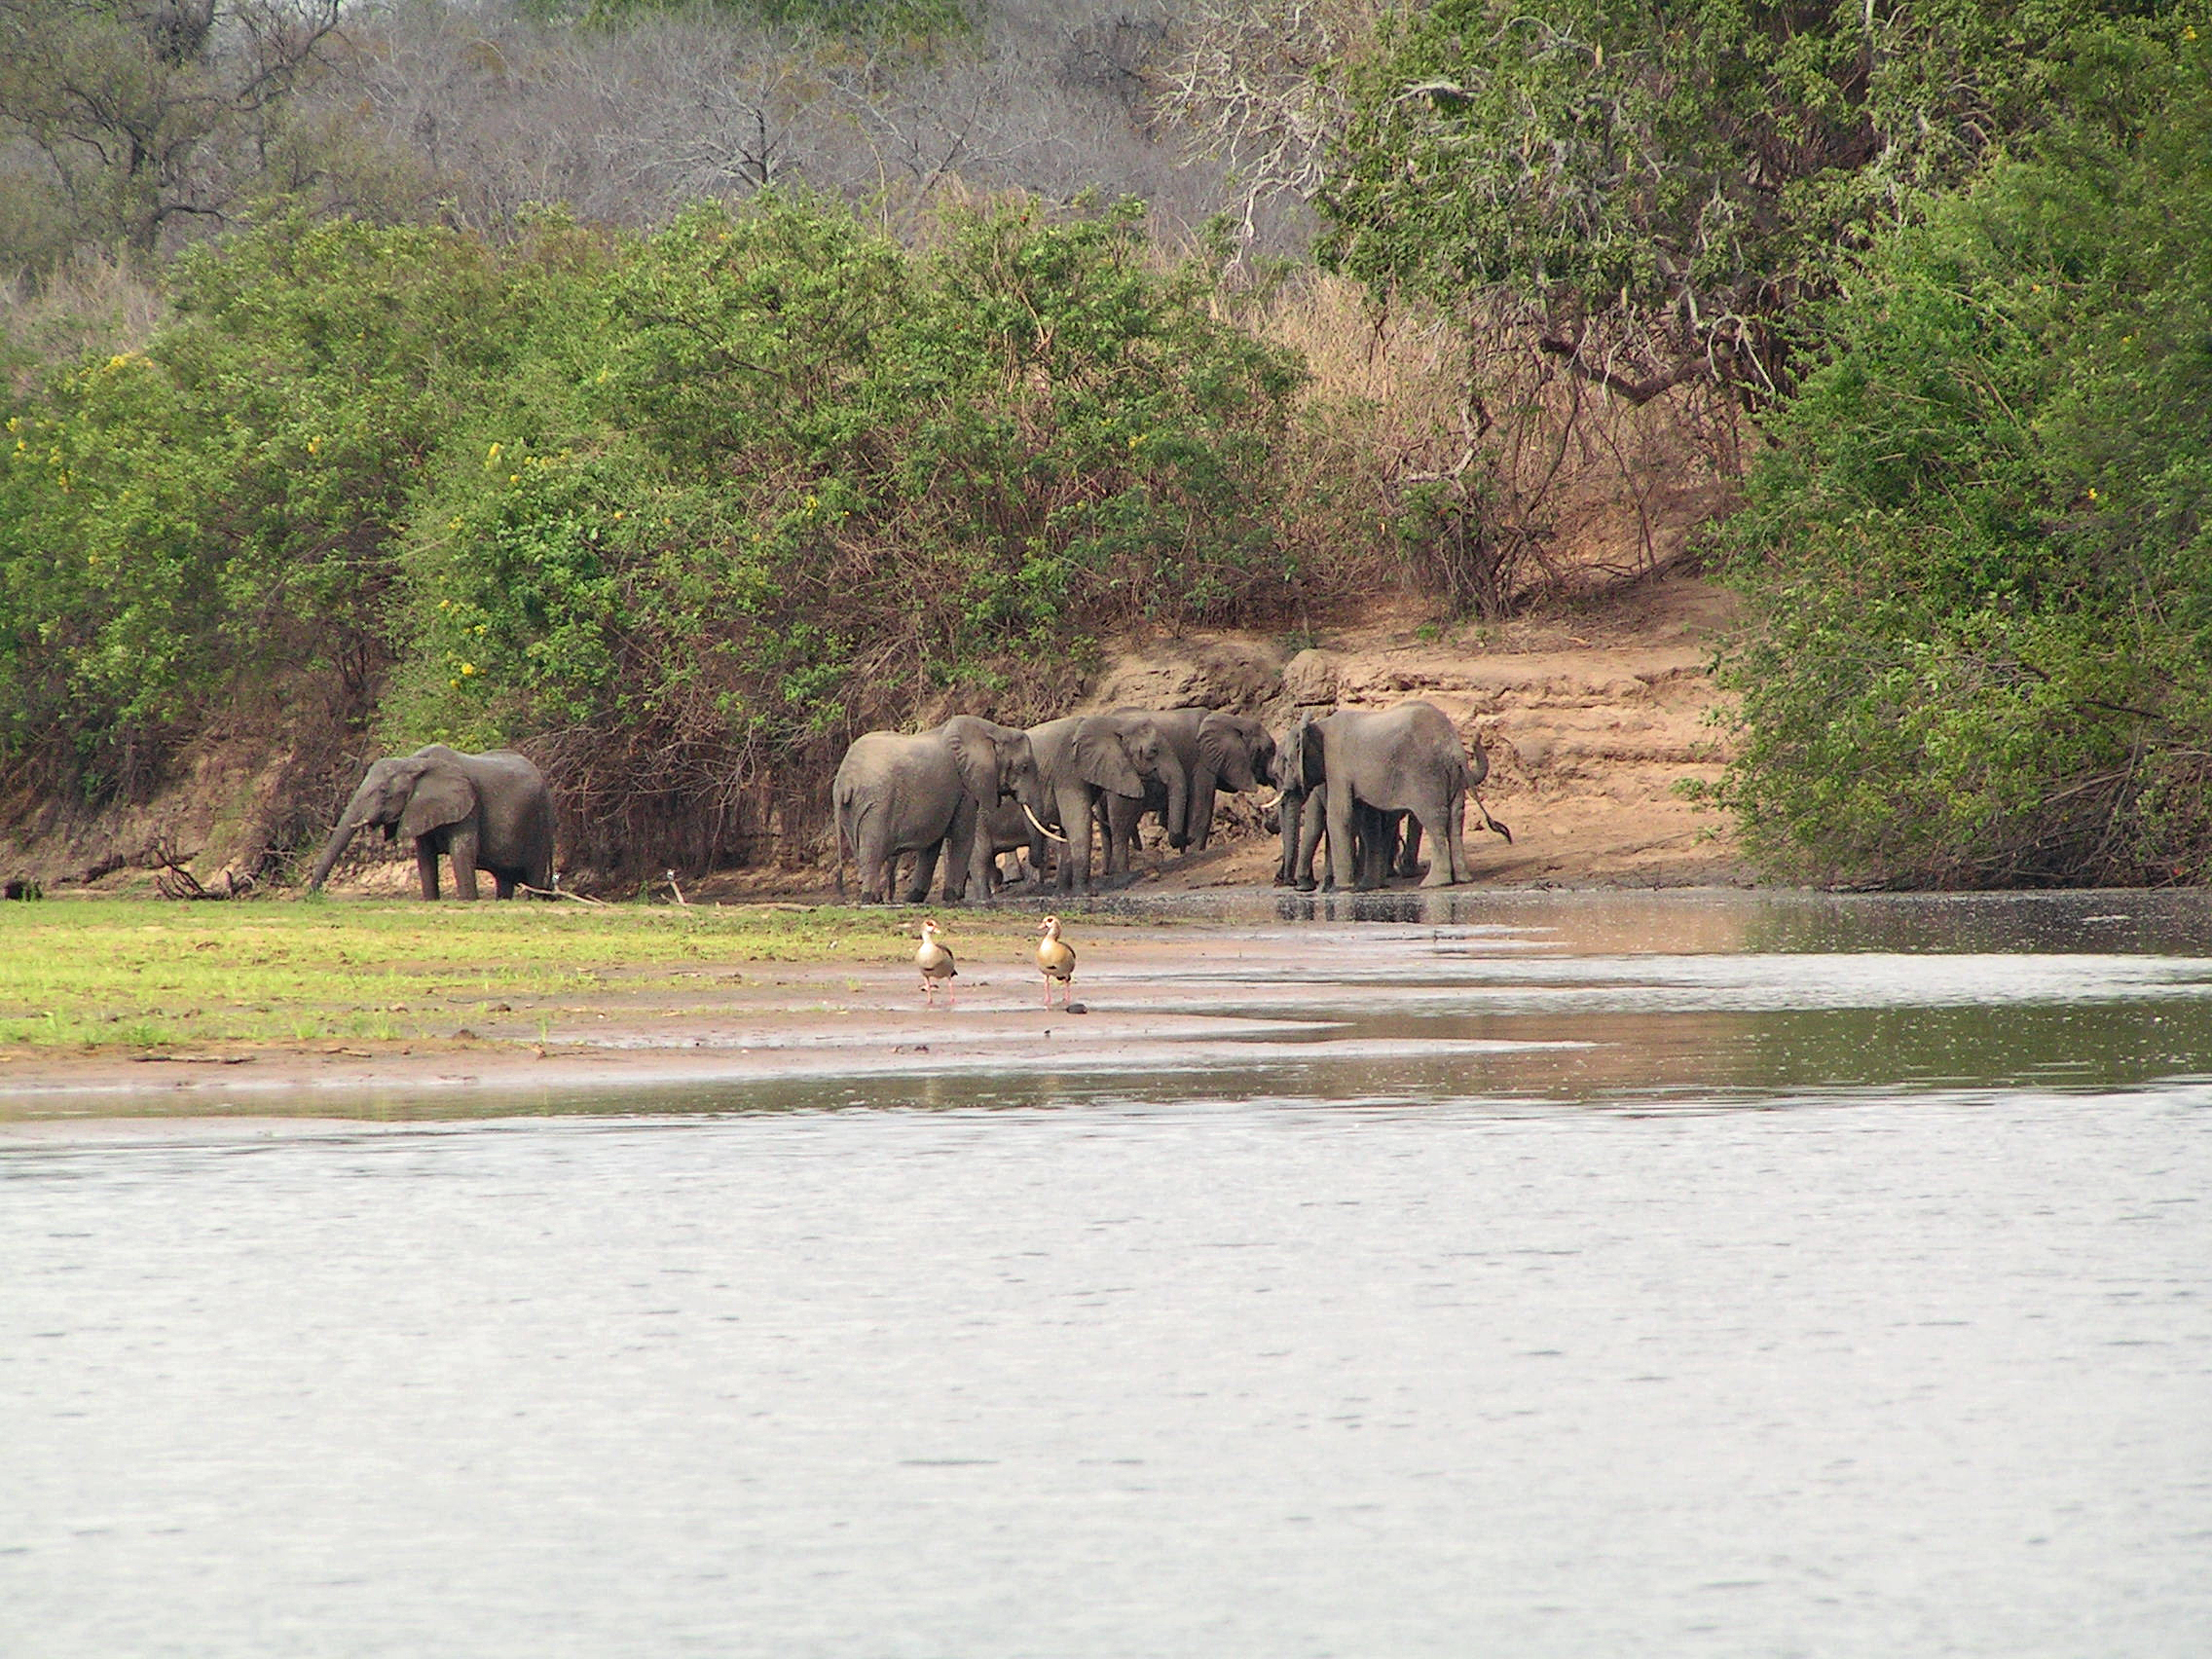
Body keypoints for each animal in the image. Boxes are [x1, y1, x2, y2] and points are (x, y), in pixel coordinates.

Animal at [308, 744, 555, 900]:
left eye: (384, 792)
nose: (312, 896)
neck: (413, 762)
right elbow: (424, 856)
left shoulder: (469, 804)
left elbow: (463, 850)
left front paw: (468, 901)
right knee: (504, 878)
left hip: (541, 819)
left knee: (534, 872)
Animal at [833, 715, 1049, 904]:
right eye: (1024, 767)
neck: (994, 730)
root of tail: (845, 781)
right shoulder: (964, 788)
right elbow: (962, 836)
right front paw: (954, 897)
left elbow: (932, 844)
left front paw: (913, 898)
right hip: (877, 803)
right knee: (873, 851)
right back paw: (870, 899)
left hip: (851, 810)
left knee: (861, 851)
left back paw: (876, 898)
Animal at [1026, 711, 1184, 895]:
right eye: (1153, 751)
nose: (1175, 841)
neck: (1114, 723)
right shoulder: (1068, 770)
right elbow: (1078, 821)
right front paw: (1086, 893)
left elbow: (1069, 828)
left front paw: (1065, 894)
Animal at [1274, 702, 1509, 892]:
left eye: (1284, 764)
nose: (1287, 883)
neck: (1318, 724)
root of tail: (1455, 746)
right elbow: (1368, 821)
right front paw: (1365, 887)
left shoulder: (1336, 764)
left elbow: (1340, 817)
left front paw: (1341, 889)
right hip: (1453, 774)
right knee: (1455, 817)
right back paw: (1462, 879)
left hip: (1425, 772)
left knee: (1433, 818)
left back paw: (1434, 883)